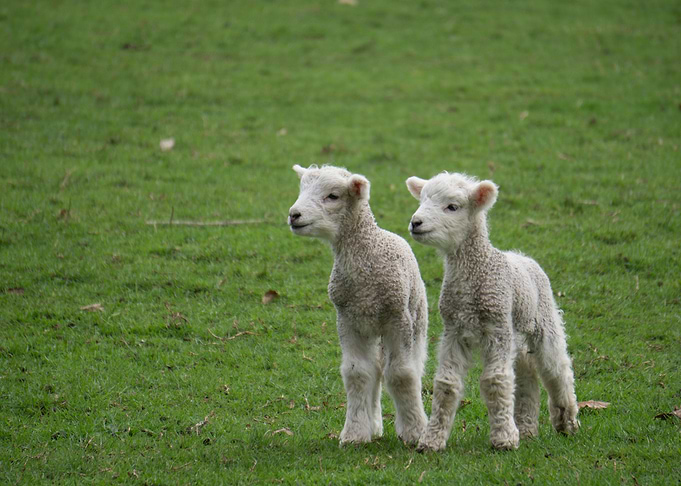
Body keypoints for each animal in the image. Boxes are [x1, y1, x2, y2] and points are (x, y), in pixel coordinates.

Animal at [288, 164, 429, 445]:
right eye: (302, 189)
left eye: (332, 196)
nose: (294, 215)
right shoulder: (348, 319)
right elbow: (357, 374)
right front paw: (354, 433)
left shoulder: (398, 319)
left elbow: (402, 374)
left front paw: (414, 432)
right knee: (375, 370)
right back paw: (374, 425)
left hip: (417, 317)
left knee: (411, 368)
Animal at [405, 172, 579, 451]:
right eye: (422, 200)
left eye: (452, 207)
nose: (416, 222)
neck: (475, 273)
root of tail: (522, 255)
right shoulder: (454, 330)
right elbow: (446, 384)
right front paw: (431, 440)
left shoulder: (497, 328)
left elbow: (495, 381)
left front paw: (504, 438)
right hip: (516, 333)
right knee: (527, 371)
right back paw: (527, 428)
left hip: (543, 319)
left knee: (557, 368)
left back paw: (567, 423)